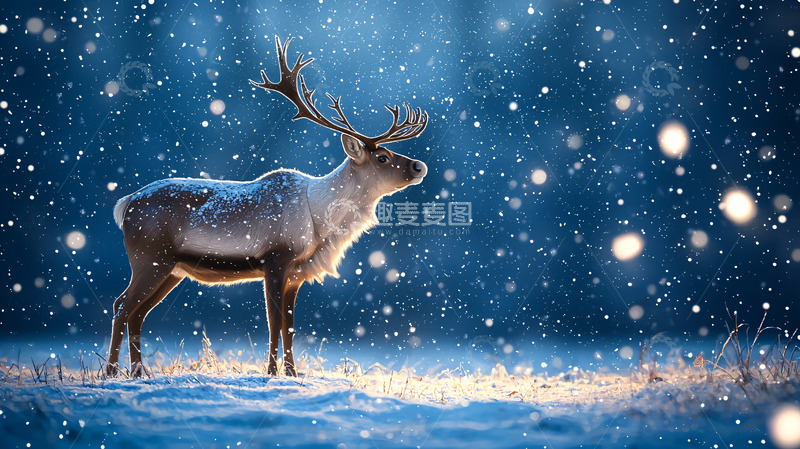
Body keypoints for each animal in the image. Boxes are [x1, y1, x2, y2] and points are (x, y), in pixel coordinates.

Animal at [106, 36, 428, 378]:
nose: (419, 166)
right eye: (382, 157)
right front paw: (272, 372)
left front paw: (293, 373)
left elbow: (290, 326)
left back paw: (138, 372)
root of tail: (125, 204)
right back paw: (111, 372)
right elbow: (274, 323)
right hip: (149, 257)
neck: (319, 224)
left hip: (172, 268)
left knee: (137, 312)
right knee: (122, 305)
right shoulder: (276, 257)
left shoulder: (297, 271)